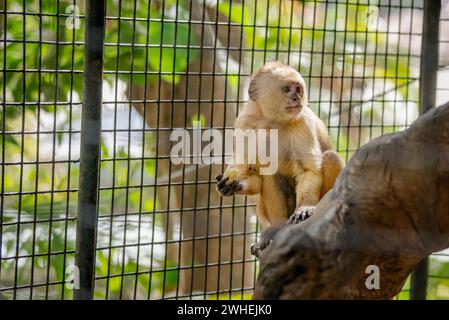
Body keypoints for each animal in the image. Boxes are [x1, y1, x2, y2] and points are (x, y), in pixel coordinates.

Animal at [215, 61, 342, 258]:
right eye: (287, 89)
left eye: (298, 89)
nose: (296, 98)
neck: (272, 122)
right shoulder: (245, 122)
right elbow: (253, 172)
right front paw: (234, 185)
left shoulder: (302, 120)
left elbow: (308, 170)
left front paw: (305, 208)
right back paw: (276, 231)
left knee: (330, 158)